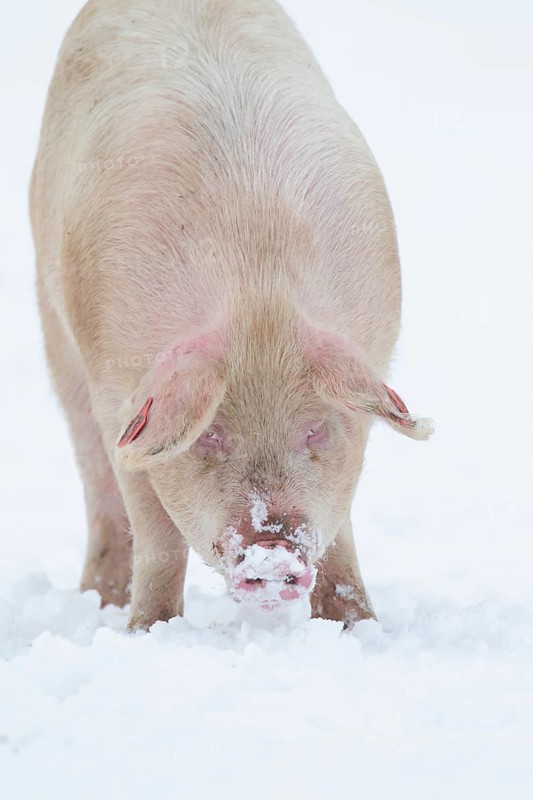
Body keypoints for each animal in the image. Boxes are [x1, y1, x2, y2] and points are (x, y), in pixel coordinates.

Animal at [30, 0, 432, 631]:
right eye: (211, 434)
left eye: (314, 428)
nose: (272, 552)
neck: (256, 295)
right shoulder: (120, 396)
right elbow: (159, 540)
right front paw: (150, 633)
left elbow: (340, 528)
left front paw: (358, 628)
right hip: (54, 327)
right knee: (95, 478)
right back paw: (101, 603)